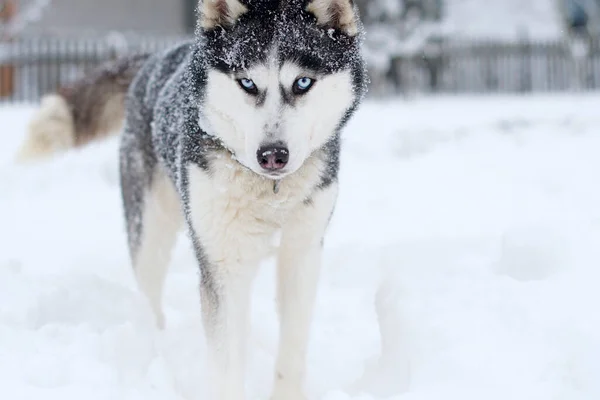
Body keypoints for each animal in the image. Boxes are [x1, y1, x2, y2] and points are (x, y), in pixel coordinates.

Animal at [120, 1, 368, 398]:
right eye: (247, 83)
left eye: (302, 82)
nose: (273, 155)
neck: (270, 195)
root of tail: (157, 57)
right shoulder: (222, 264)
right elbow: (225, 362)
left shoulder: (302, 254)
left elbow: (292, 349)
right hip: (150, 233)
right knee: (149, 292)